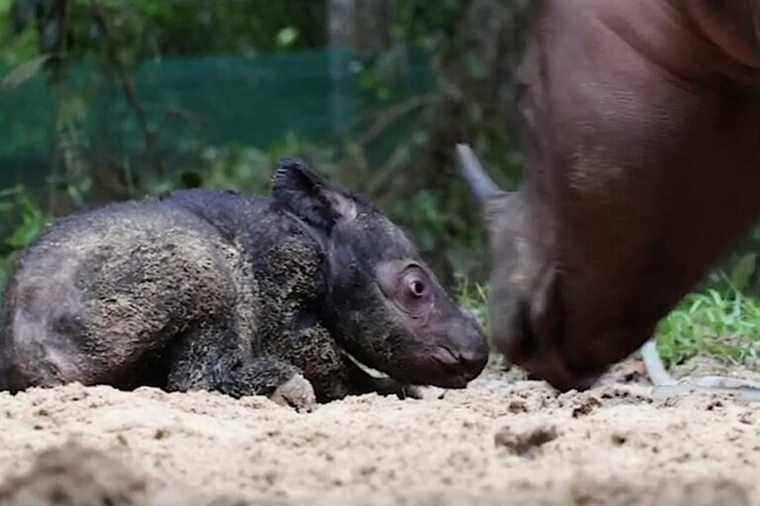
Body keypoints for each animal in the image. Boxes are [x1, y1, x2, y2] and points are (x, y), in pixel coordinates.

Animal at [0, 160, 486, 410]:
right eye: (417, 287)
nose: (476, 353)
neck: (320, 241)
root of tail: (22, 353)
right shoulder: (283, 297)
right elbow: (331, 364)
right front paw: (390, 389)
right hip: (196, 265)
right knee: (195, 372)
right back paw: (281, 388)